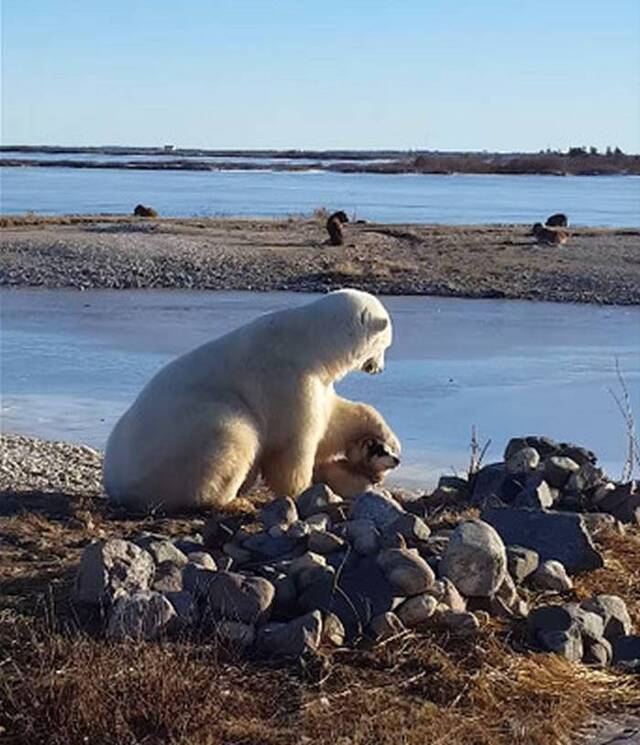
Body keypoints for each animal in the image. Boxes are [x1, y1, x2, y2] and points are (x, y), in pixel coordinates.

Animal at [104, 290, 396, 512]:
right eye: (386, 345)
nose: (380, 369)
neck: (310, 343)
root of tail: (114, 481)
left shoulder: (317, 382)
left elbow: (334, 420)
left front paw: (387, 440)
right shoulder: (287, 381)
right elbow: (294, 443)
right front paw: (307, 490)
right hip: (184, 437)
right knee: (234, 436)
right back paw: (229, 499)